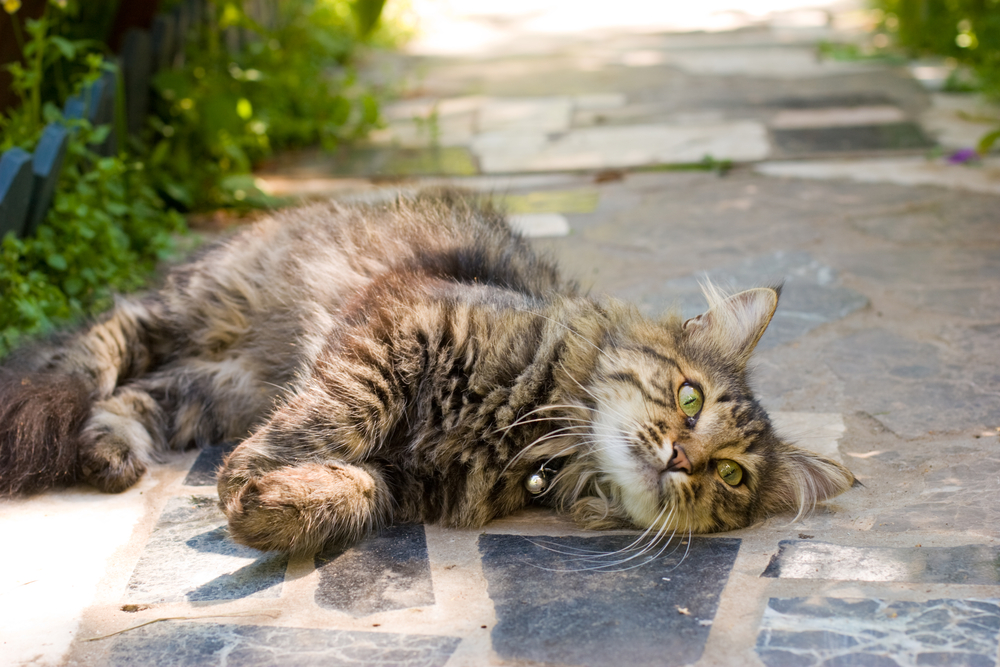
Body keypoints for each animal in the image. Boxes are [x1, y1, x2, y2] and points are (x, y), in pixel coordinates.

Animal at [0, 192, 860, 552]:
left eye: (731, 476)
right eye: (689, 396)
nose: (682, 457)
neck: (536, 436)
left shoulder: (413, 480)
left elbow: (356, 489)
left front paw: (276, 506)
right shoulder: (396, 328)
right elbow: (337, 414)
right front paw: (249, 474)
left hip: (215, 389)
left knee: (138, 396)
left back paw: (108, 451)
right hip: (195, 309)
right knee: (96, 347)